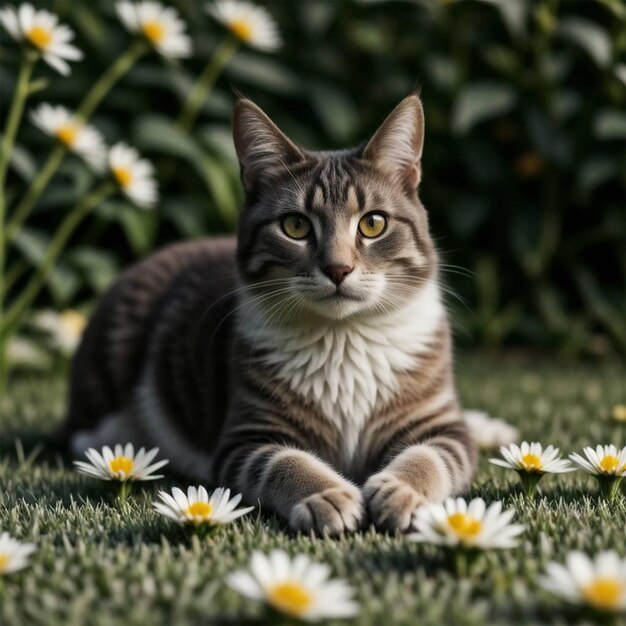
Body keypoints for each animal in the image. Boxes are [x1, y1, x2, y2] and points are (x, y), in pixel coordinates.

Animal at [61, 96, 476, 532]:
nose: (338, 268)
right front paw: (326, 495)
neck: (342, 336)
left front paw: (404, 492)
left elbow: (431, 455)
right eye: (295, 226)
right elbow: (283, 462)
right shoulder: (247, 436)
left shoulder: (441, 423)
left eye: (373, 223)